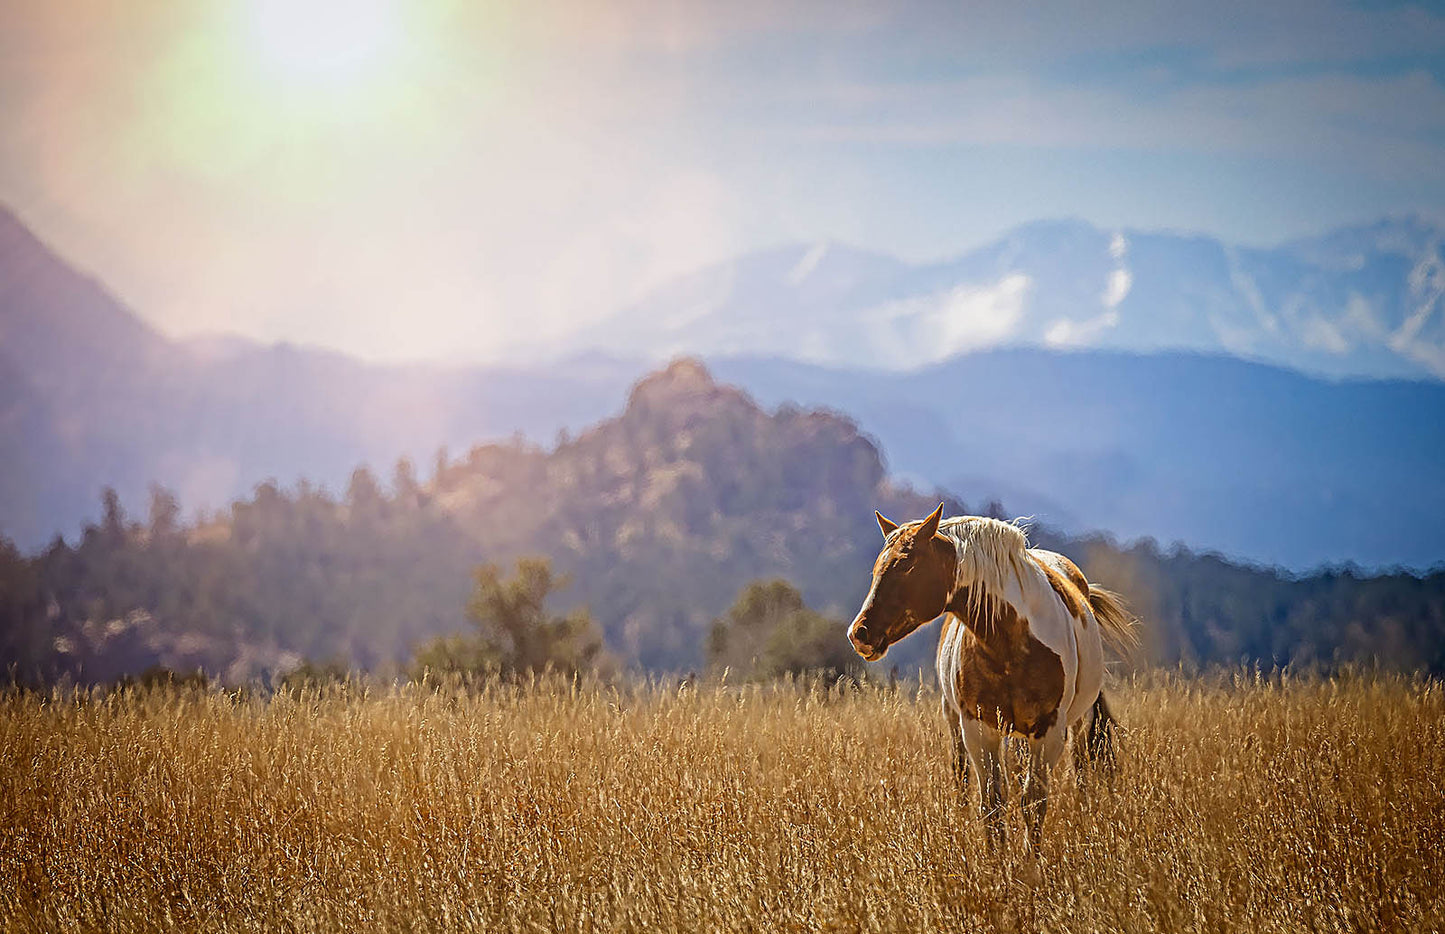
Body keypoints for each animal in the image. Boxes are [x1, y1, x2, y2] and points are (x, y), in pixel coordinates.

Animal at [847, 503, 1138, 847]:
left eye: (907, 566)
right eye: (878, 569)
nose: (860, 634)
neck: (1009, 643)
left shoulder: (1049, 729)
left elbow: (1033, 801)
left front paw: (1030, 860)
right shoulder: (979, 728)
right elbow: (992, 804)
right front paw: (997, 859)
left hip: (1078, 721)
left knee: (1081, 769)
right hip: (957, 721)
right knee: (961, 773)